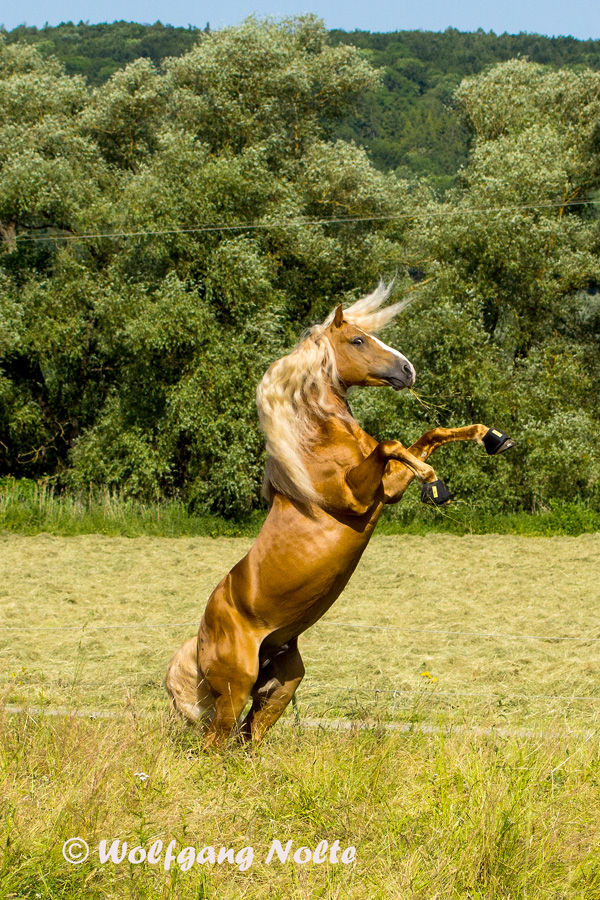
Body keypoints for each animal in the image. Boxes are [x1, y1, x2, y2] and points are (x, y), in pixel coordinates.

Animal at [166, 286, 512, 744]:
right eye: (359, 340)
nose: (408, 370)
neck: (316, 441)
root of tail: (201, 636)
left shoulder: (387, 488)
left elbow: (428, 436)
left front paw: (493, 438)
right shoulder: (357, 497)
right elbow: (392, 444)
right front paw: (435, 484)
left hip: (280, 685)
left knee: (248, 738)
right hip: (234, 689)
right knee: (214, 744)